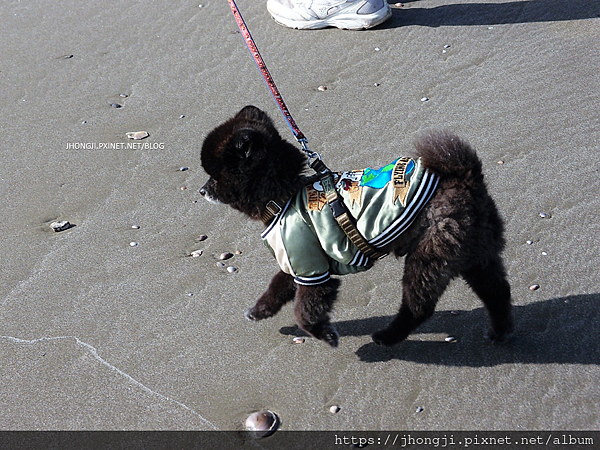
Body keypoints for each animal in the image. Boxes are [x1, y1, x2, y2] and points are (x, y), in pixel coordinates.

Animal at [199, 105, 512, 348]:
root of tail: (465, 178)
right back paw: (500, 332)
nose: (201, 191)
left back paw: (388, 336)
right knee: (497, 291)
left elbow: (305, 311)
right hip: (476, 255)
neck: (283, 197)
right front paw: (260, 310)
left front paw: (324, 335)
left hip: (430, 256)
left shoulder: (314, 271)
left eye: (214, 178)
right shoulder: (298, 263)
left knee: (419, 306)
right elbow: (277, 287)